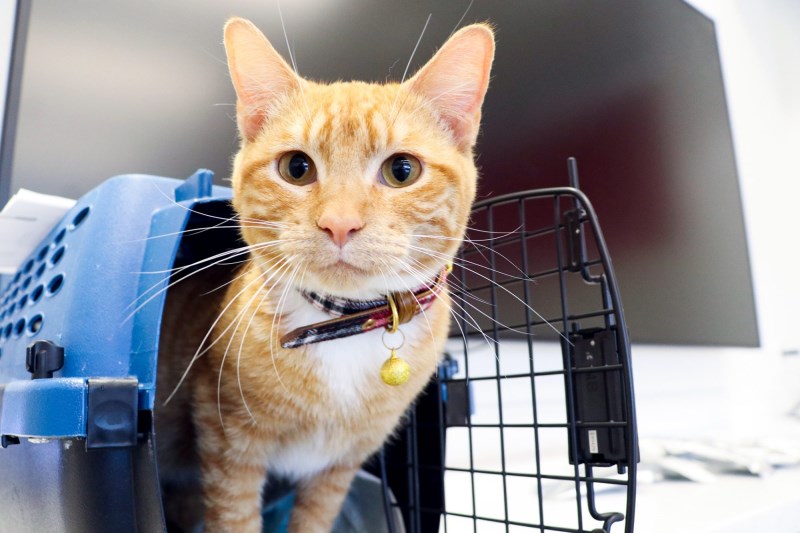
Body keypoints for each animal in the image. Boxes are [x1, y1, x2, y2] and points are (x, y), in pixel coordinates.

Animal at [155, 16, 494, 532]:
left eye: (402, 170)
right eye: (296, 168)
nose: (339, 223)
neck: (342, 324)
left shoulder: (339, 467)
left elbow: (314, 519)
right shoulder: (227, 443)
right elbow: (234, 518)